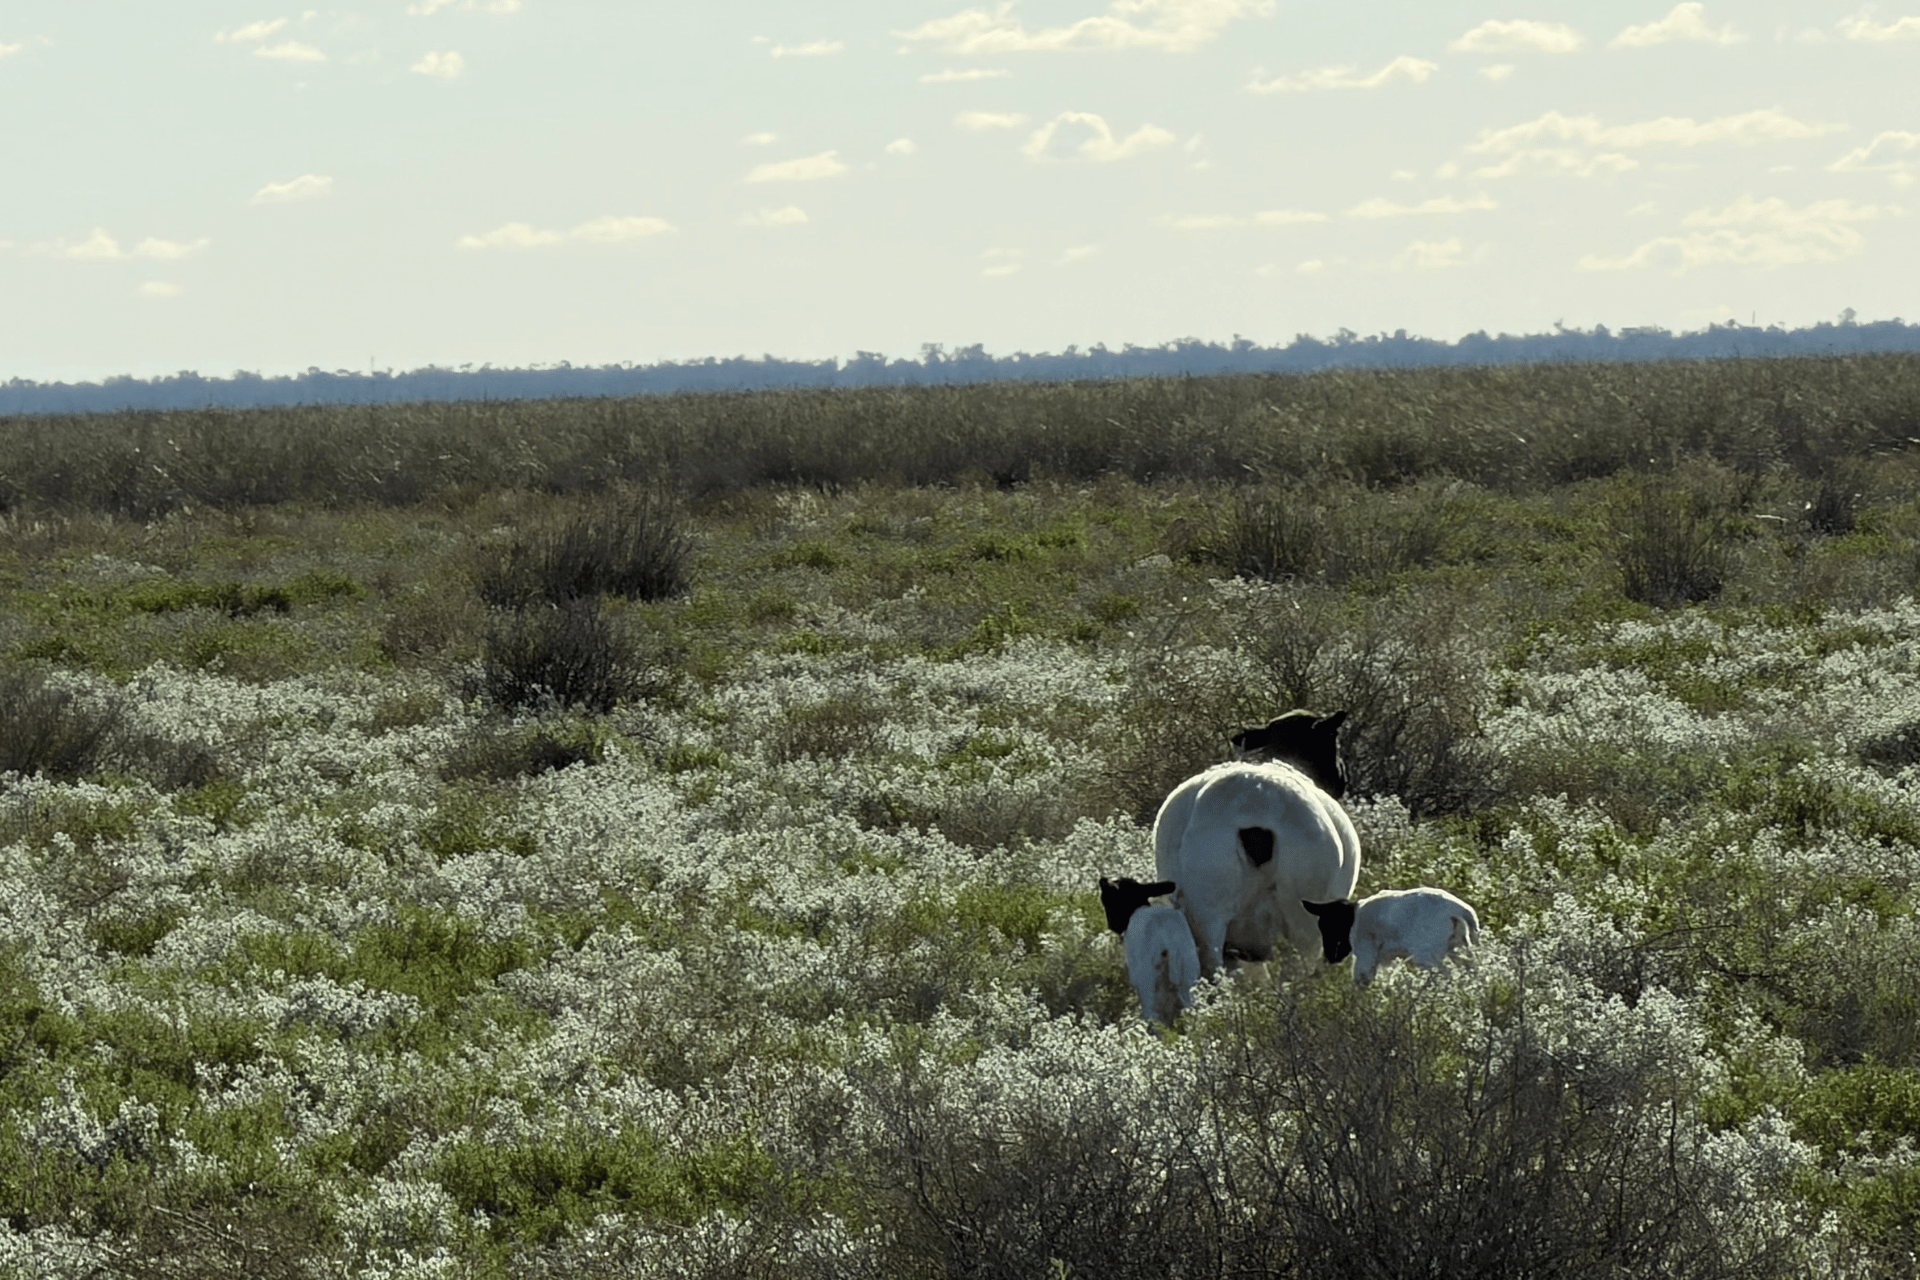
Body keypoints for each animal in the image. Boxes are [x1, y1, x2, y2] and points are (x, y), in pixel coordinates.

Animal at [1098, 875, 1201, 1026]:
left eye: (1108, 898)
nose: (1102, 879)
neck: (1137, 906)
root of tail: (1167, 940)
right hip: (1187, 972)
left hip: (1148, 980)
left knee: (1153, 1013)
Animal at [1302, 887, 1480, 986]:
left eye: (1330, 927)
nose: (1330, 958)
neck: (1354, 917)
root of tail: (1459, 909)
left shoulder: (1366, 955)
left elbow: (1362, 980)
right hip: (1457, 949)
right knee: (1471, 969)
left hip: (1426, 957)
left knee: (1447, 975)